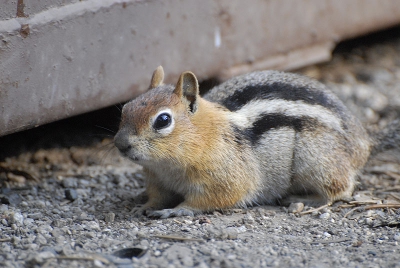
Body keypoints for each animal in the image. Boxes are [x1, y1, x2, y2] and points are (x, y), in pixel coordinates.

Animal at [113, 66, 400, 219]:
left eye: (163, 120)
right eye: (125, 108)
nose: (120, 144)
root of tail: (364, 142)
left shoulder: (226, 178)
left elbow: (212, 199)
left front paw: (176, 210)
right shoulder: (157, 179)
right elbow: (157, 196)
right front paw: (143, 206)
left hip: (316, 159)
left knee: (341, 188)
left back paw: (305, 198)